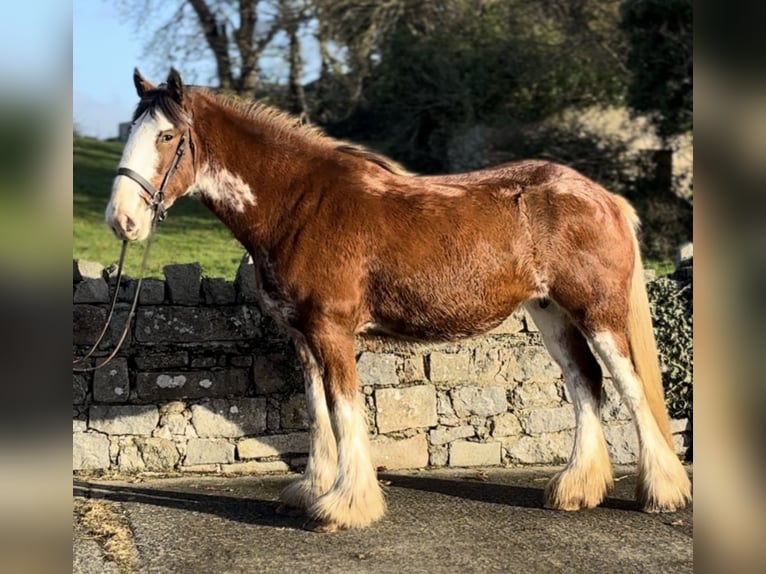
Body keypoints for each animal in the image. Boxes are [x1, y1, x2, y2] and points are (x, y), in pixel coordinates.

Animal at [105, 70, 692, 532]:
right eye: (130, 134)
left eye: (167, 135)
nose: (122, 220)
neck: (299, 205)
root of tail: (604, 196)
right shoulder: (303, 337)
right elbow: (318, 412)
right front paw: (310, 491)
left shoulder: (332, 331)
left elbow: (344, 411)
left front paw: (345, 506)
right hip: (551, 313)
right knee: (584, 382)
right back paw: (575, 489)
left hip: (598, 314)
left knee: (630, 387)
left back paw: (662, 493)